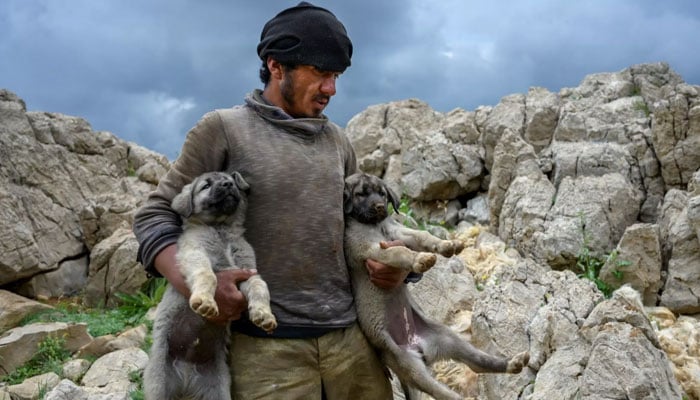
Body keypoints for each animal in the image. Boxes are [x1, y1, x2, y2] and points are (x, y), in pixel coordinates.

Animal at [145, 171, 276, 400]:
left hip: (218, 388)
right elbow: (209, 276)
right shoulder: (195, 254)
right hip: (159, 382)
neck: (221, 229)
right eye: (205, 186)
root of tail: (186, 375)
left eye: (231, 181)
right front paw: (205, 301)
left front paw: (264, 314)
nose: (228, 184)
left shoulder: (247, 272)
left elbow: (260, 287)